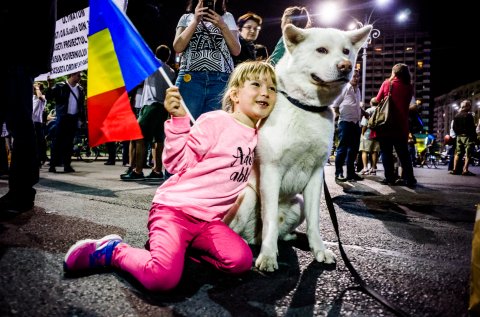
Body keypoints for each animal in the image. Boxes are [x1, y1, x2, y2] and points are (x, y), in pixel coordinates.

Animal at [223, 23, 374, 270]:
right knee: (238, 229)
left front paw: (319, 250)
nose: (346, 66)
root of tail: (252, 237)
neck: (307, 108)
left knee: (279, 232)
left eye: (346, 51)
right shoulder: (271, 171)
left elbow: (315, 222)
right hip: (247, 196)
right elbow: (270, 219)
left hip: (299, 203)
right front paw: (268, 256)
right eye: (321, 50)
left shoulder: (315, 176)